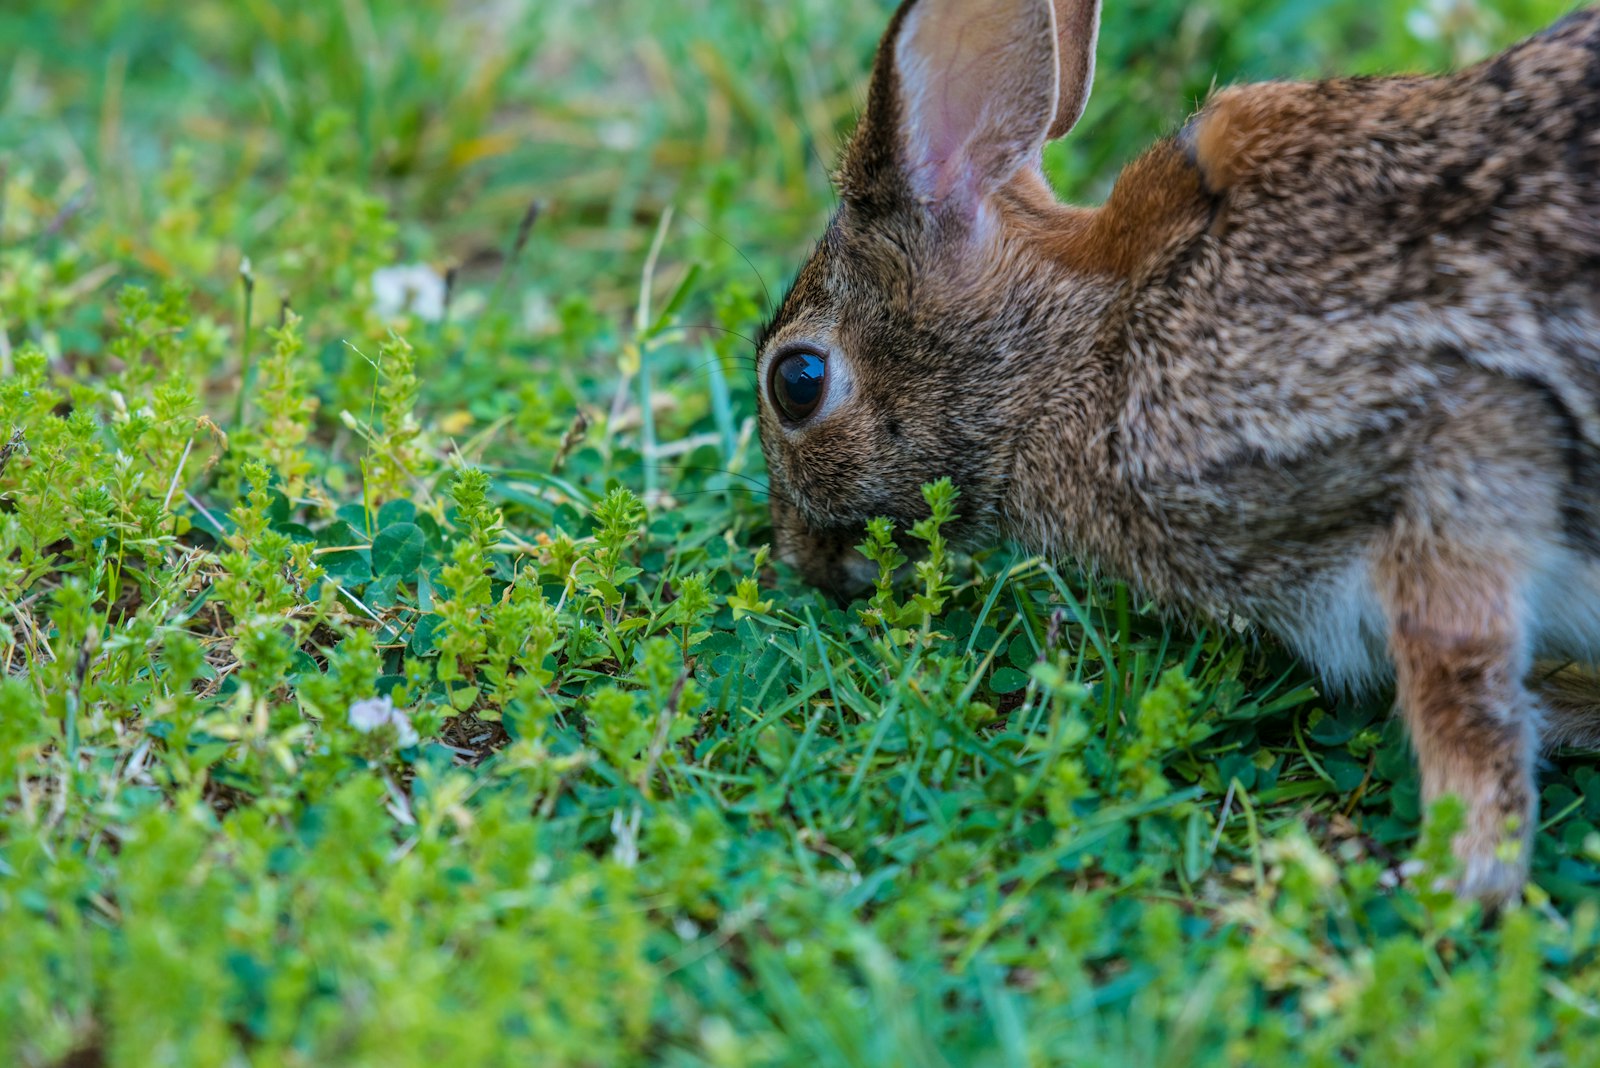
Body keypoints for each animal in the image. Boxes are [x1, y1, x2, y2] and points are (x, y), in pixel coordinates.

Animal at [755, 0, 1600, 908]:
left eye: (797, 382)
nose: (800, 560)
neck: (1085, 342)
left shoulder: (1460, 441)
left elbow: (1459, 678)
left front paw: (1452, 878)